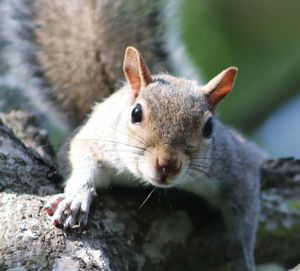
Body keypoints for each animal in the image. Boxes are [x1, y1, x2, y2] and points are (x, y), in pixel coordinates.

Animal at [0, 0, 268, 271]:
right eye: (136, 113)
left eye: (209, 127)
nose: (167, 163)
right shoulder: (96, 140)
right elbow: (81, 160)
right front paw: (76, 199)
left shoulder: (234, 164)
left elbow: (245, 214)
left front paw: (241, 256)